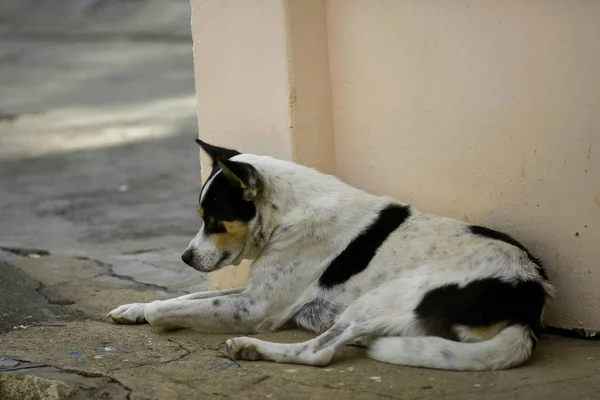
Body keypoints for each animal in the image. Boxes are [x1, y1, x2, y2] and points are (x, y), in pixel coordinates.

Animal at [108, 140, 552, 372]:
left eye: (213, 220)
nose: (185, 258)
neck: (286, 214)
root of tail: (527, 303)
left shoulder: (256, 307)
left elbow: (168, 309)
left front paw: (152, 314)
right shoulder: (254, 292)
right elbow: (184, 297)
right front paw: (133, 308)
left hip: (379, 298)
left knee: (318, 352)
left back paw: (251, 348)